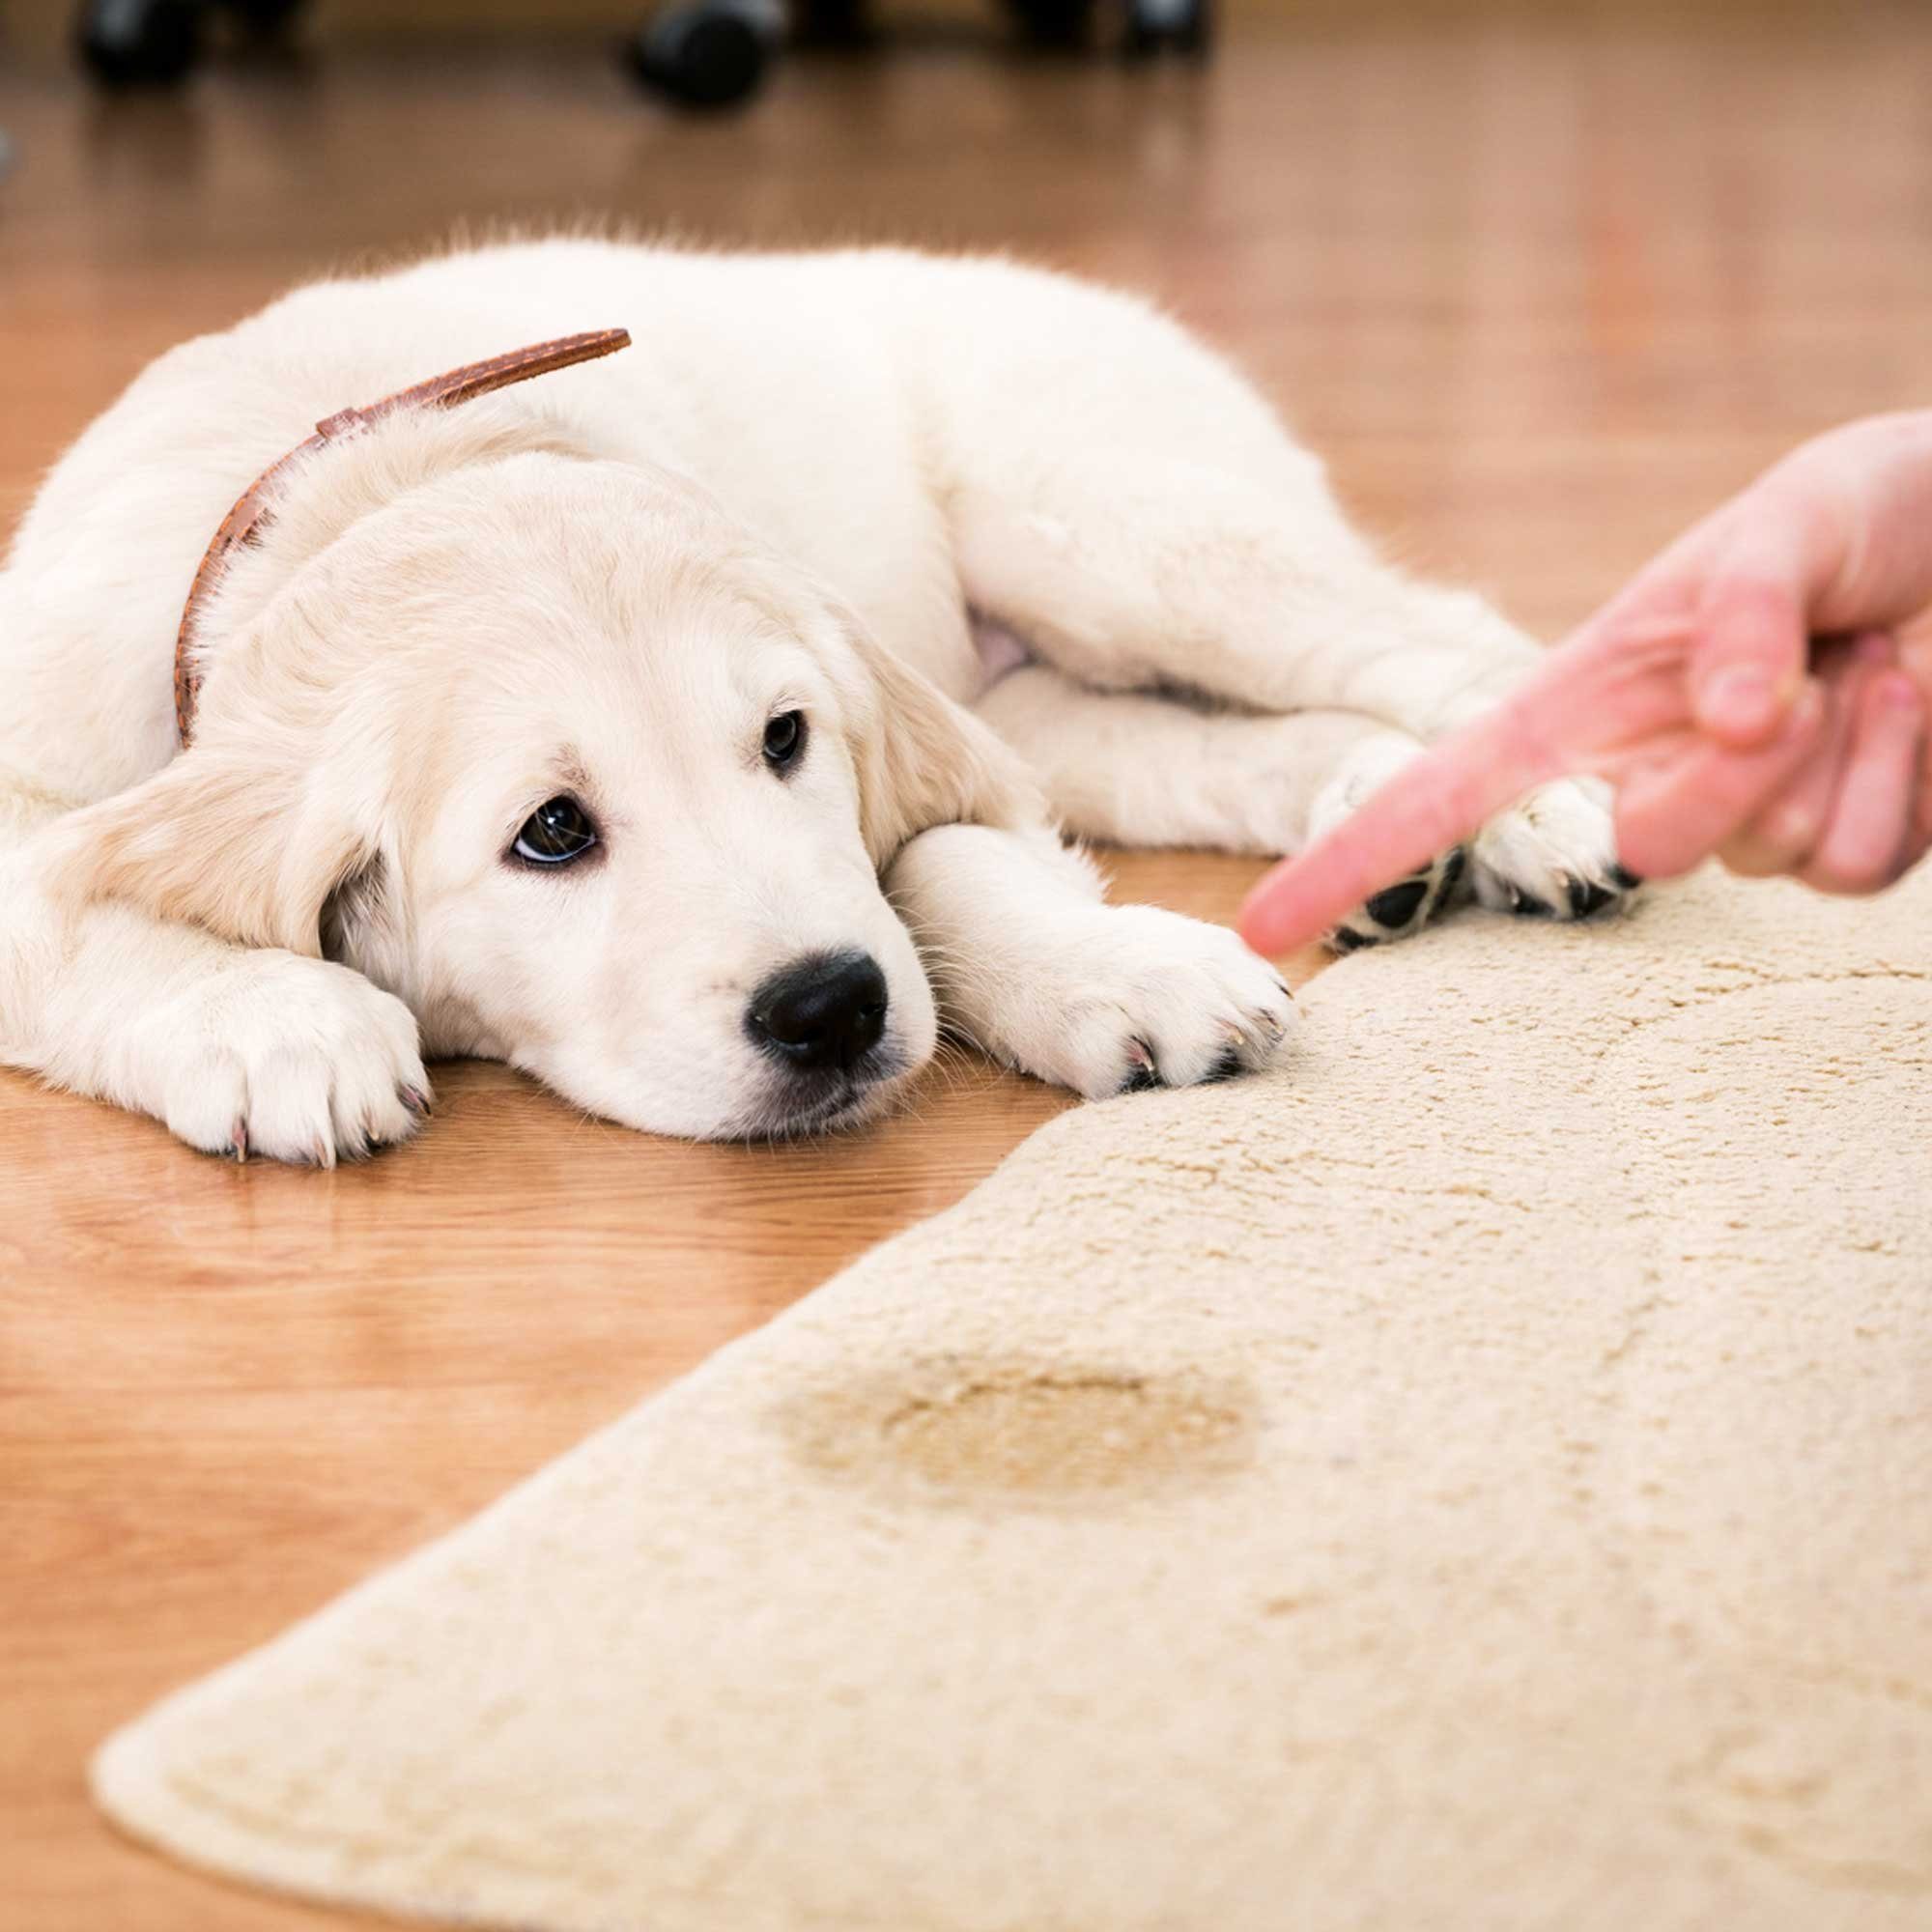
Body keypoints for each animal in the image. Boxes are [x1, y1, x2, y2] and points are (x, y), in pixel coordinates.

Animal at [0, 234, 1631, 1151]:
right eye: (550, 832)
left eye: (787, 739)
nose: (832, 1010)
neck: (360, 476)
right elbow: (63, 913)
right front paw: (279, 1021)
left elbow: (953, 865)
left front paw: (1116, 970)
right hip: (1056, 689)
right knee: (1223, 742)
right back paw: (1385, 825)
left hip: (1109, 523)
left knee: (1439, 639)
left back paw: (1544, 813)